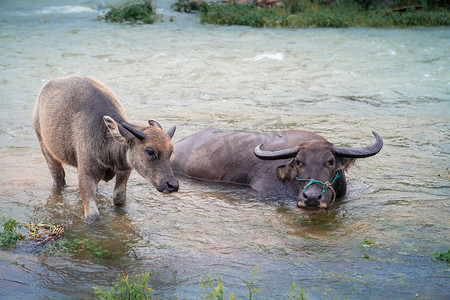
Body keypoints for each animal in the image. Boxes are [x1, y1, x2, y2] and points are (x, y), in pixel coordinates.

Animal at [33, 75, 178, 223]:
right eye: (150, 151)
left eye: (171, 152)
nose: (172, 185)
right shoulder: (85, 175)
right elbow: (93, 216)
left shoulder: (125, 169)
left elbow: (119, 198)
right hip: (45, 147)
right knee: (58, 180)